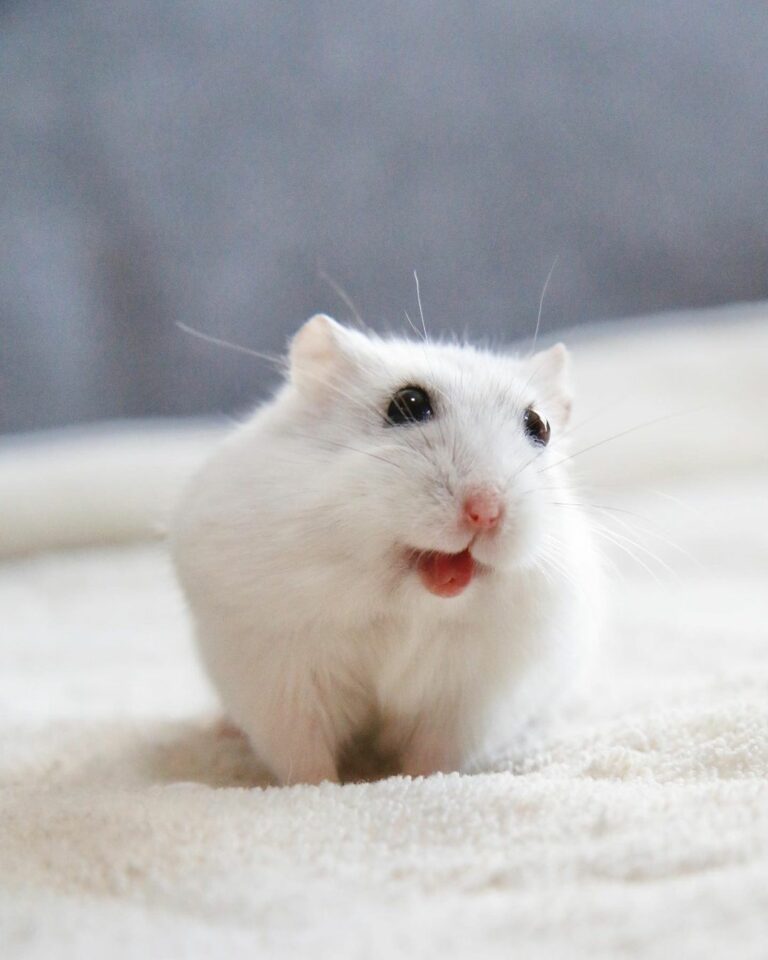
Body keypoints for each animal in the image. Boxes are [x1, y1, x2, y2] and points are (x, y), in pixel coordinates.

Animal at [170, 315, 601, 785]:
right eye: (408, 404)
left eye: (538, 425)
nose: (485, 512)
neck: (407, 603)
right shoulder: (281, 668)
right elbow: (303, 756)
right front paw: (322, 788)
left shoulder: (469, 696)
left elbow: (435, 756)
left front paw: (417, 782)